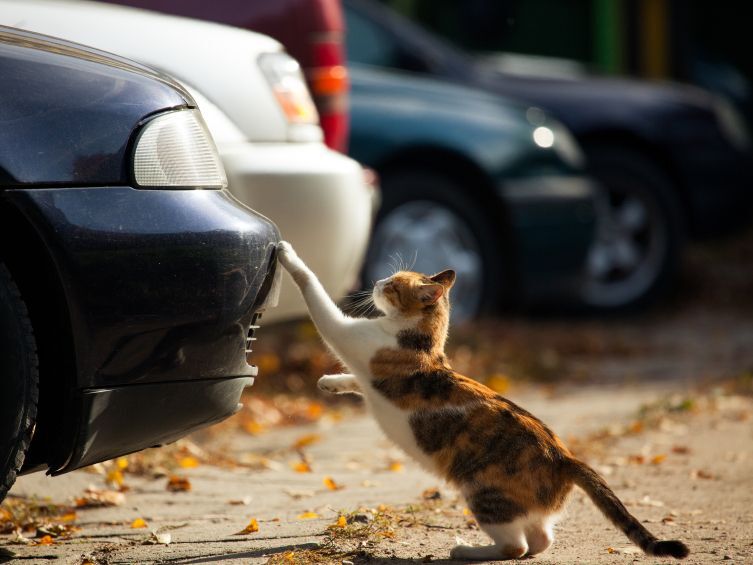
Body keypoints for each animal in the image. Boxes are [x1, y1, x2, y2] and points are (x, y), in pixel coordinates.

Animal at [276, 241, 688, 560]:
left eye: (393, 285)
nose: (377, 281)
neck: (422, 340)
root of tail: (565, 458)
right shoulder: (366, 371)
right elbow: (356, 382)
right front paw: (330, 382)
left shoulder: (346, 334)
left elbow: (316, 296)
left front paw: (288, 254)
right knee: (541, 539)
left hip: (482, 492)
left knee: (516, 547)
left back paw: (466, 550)